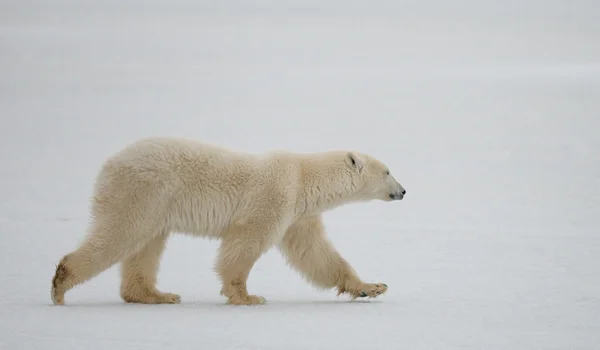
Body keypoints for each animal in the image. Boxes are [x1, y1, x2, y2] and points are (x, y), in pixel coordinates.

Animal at [51, 137, 408, 306]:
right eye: (388, 171)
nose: (404, 191)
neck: (303, 178)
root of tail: (109, 163)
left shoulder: (299, 214)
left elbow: (315, 254)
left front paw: (371, 287)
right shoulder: (273, 197)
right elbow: (245, 242)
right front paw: (247, 297)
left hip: (155, 203)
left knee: (146, 246)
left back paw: (157, 294)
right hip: (142, 191)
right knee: (120, 233)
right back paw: (61, 284)